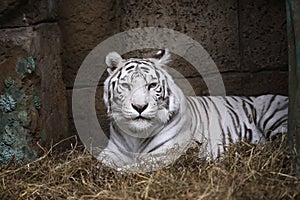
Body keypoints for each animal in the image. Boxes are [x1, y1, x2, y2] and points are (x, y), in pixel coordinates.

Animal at [97, 49, 288, 171]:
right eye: (126, 86)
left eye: (151, 85)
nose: (139, 107)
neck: (136, 137)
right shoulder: (113, 151)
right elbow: (100, 161)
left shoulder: (164, 154)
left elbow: (129, 169)